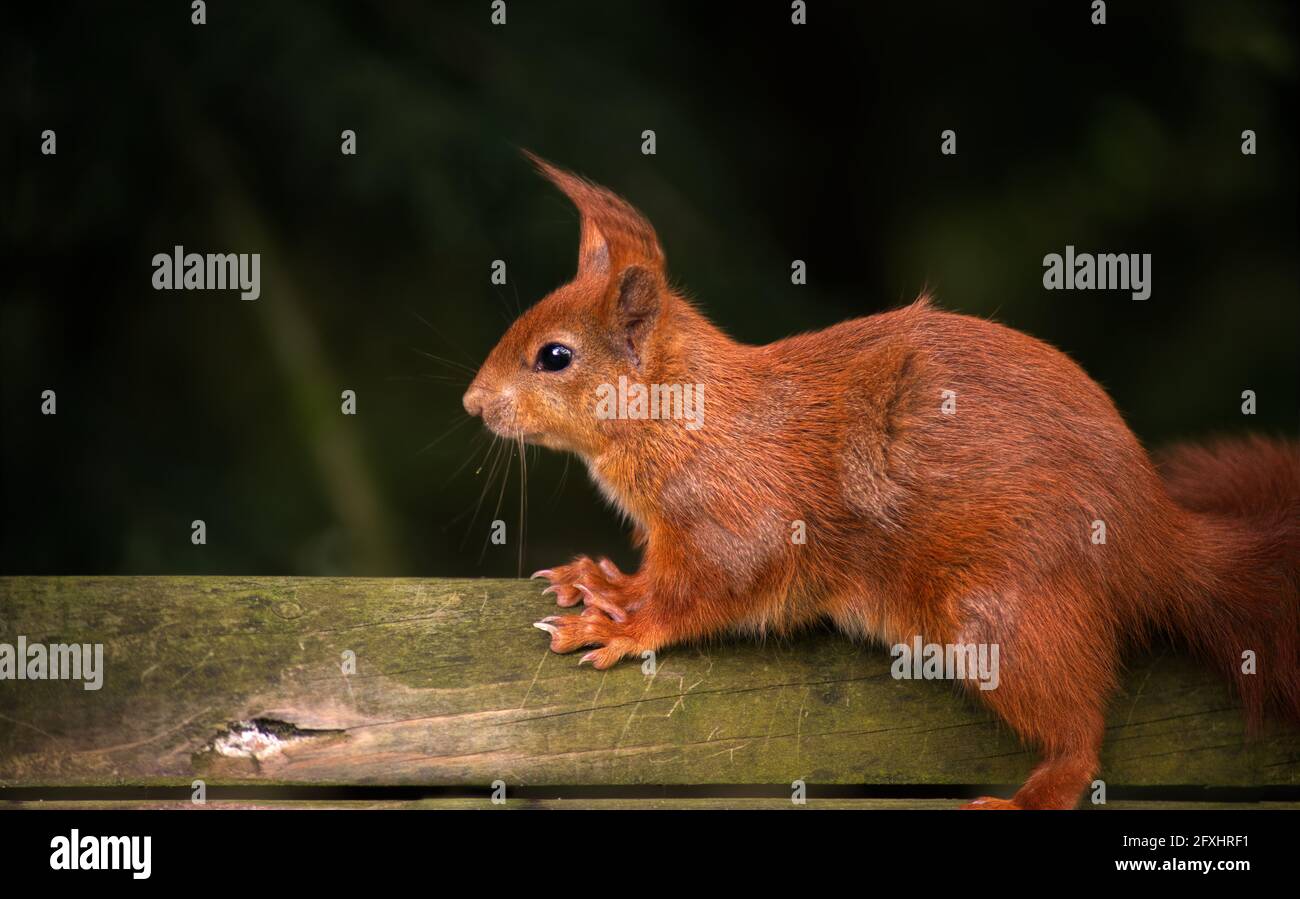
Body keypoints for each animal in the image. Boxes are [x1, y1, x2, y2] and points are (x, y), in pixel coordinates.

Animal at [465, 152, 1300, 805]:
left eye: (555, 356)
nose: (472, 402)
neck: (685, 416)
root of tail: (1156, 538)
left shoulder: (741, 510)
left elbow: (712, 584)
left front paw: (623, 620)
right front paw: (600, 579)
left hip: (999, 612)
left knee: (1079, 731)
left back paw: (1036, 789)